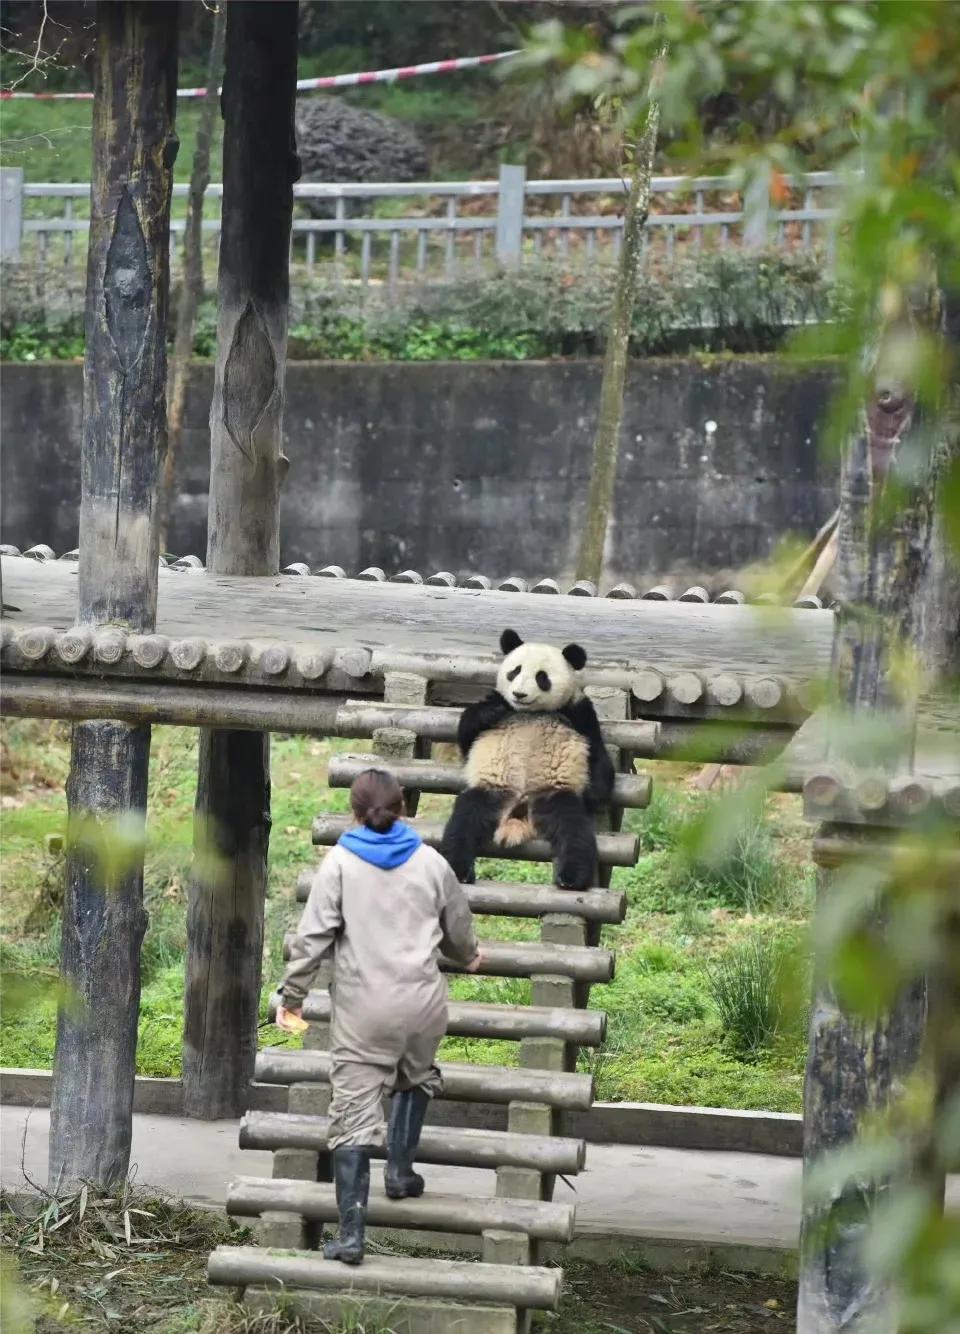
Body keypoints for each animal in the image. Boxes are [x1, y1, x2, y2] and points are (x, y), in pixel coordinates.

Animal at [437, 626, 610, 896]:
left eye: (542, 677)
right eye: (514, 671)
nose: (518, 694)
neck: (529, 712)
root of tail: (519, 809)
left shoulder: (578, 713)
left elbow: (599, 762)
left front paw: (595, 791)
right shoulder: (495, 711)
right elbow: (468, 734)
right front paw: (493, 709)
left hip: (552, 795)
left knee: (573, 830)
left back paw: (571, 877)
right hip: (493, 791)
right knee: (464, 819)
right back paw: (458, 870)